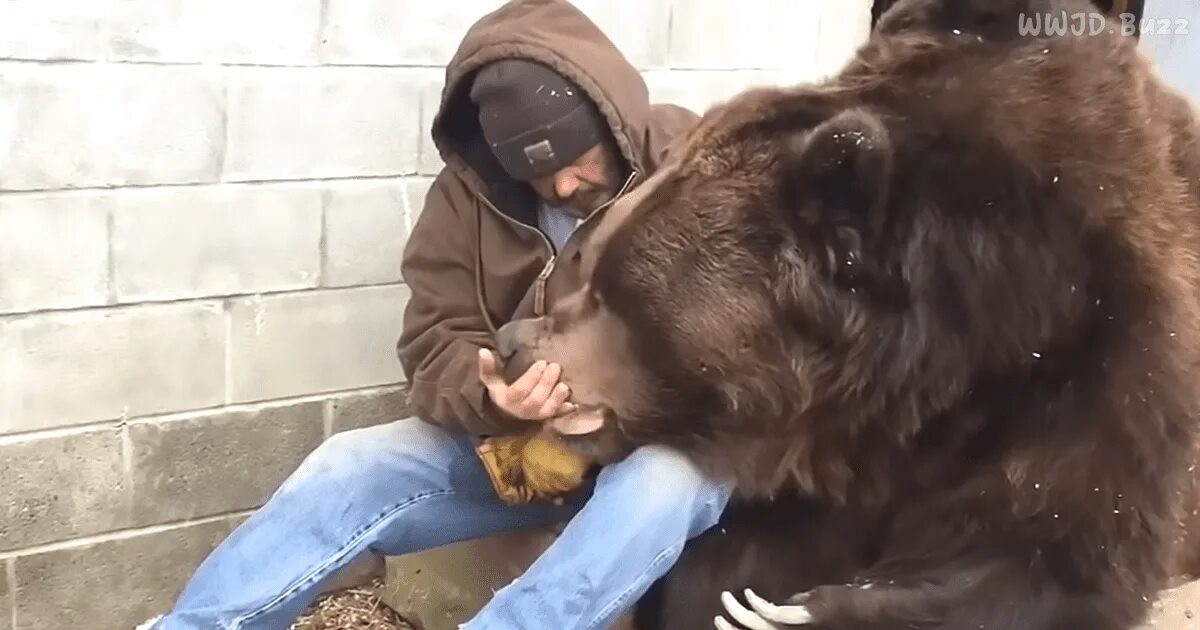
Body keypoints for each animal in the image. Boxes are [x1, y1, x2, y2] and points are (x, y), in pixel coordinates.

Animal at [494, 0, 1200, 624]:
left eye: (615, 293)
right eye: (594, 264)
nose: (510, 341)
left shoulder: (1102, 369)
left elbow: (1054, 556)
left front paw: (788, 611)